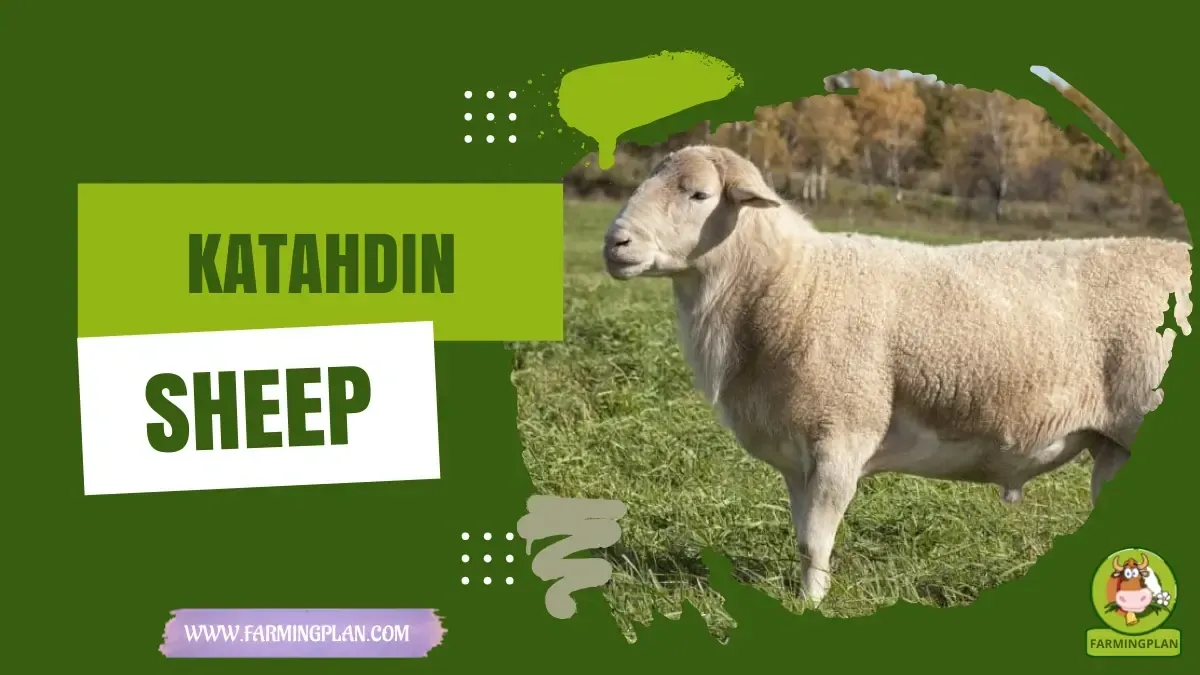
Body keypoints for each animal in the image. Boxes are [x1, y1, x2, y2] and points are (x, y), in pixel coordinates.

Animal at [601, 143, 1192, 606]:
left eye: (698, 195)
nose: (615, 243)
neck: (788, 283)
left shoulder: (841, 433)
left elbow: (816, 541)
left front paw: (811, 606)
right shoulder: (795, 451)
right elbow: (801, 536)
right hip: (1117, 446)